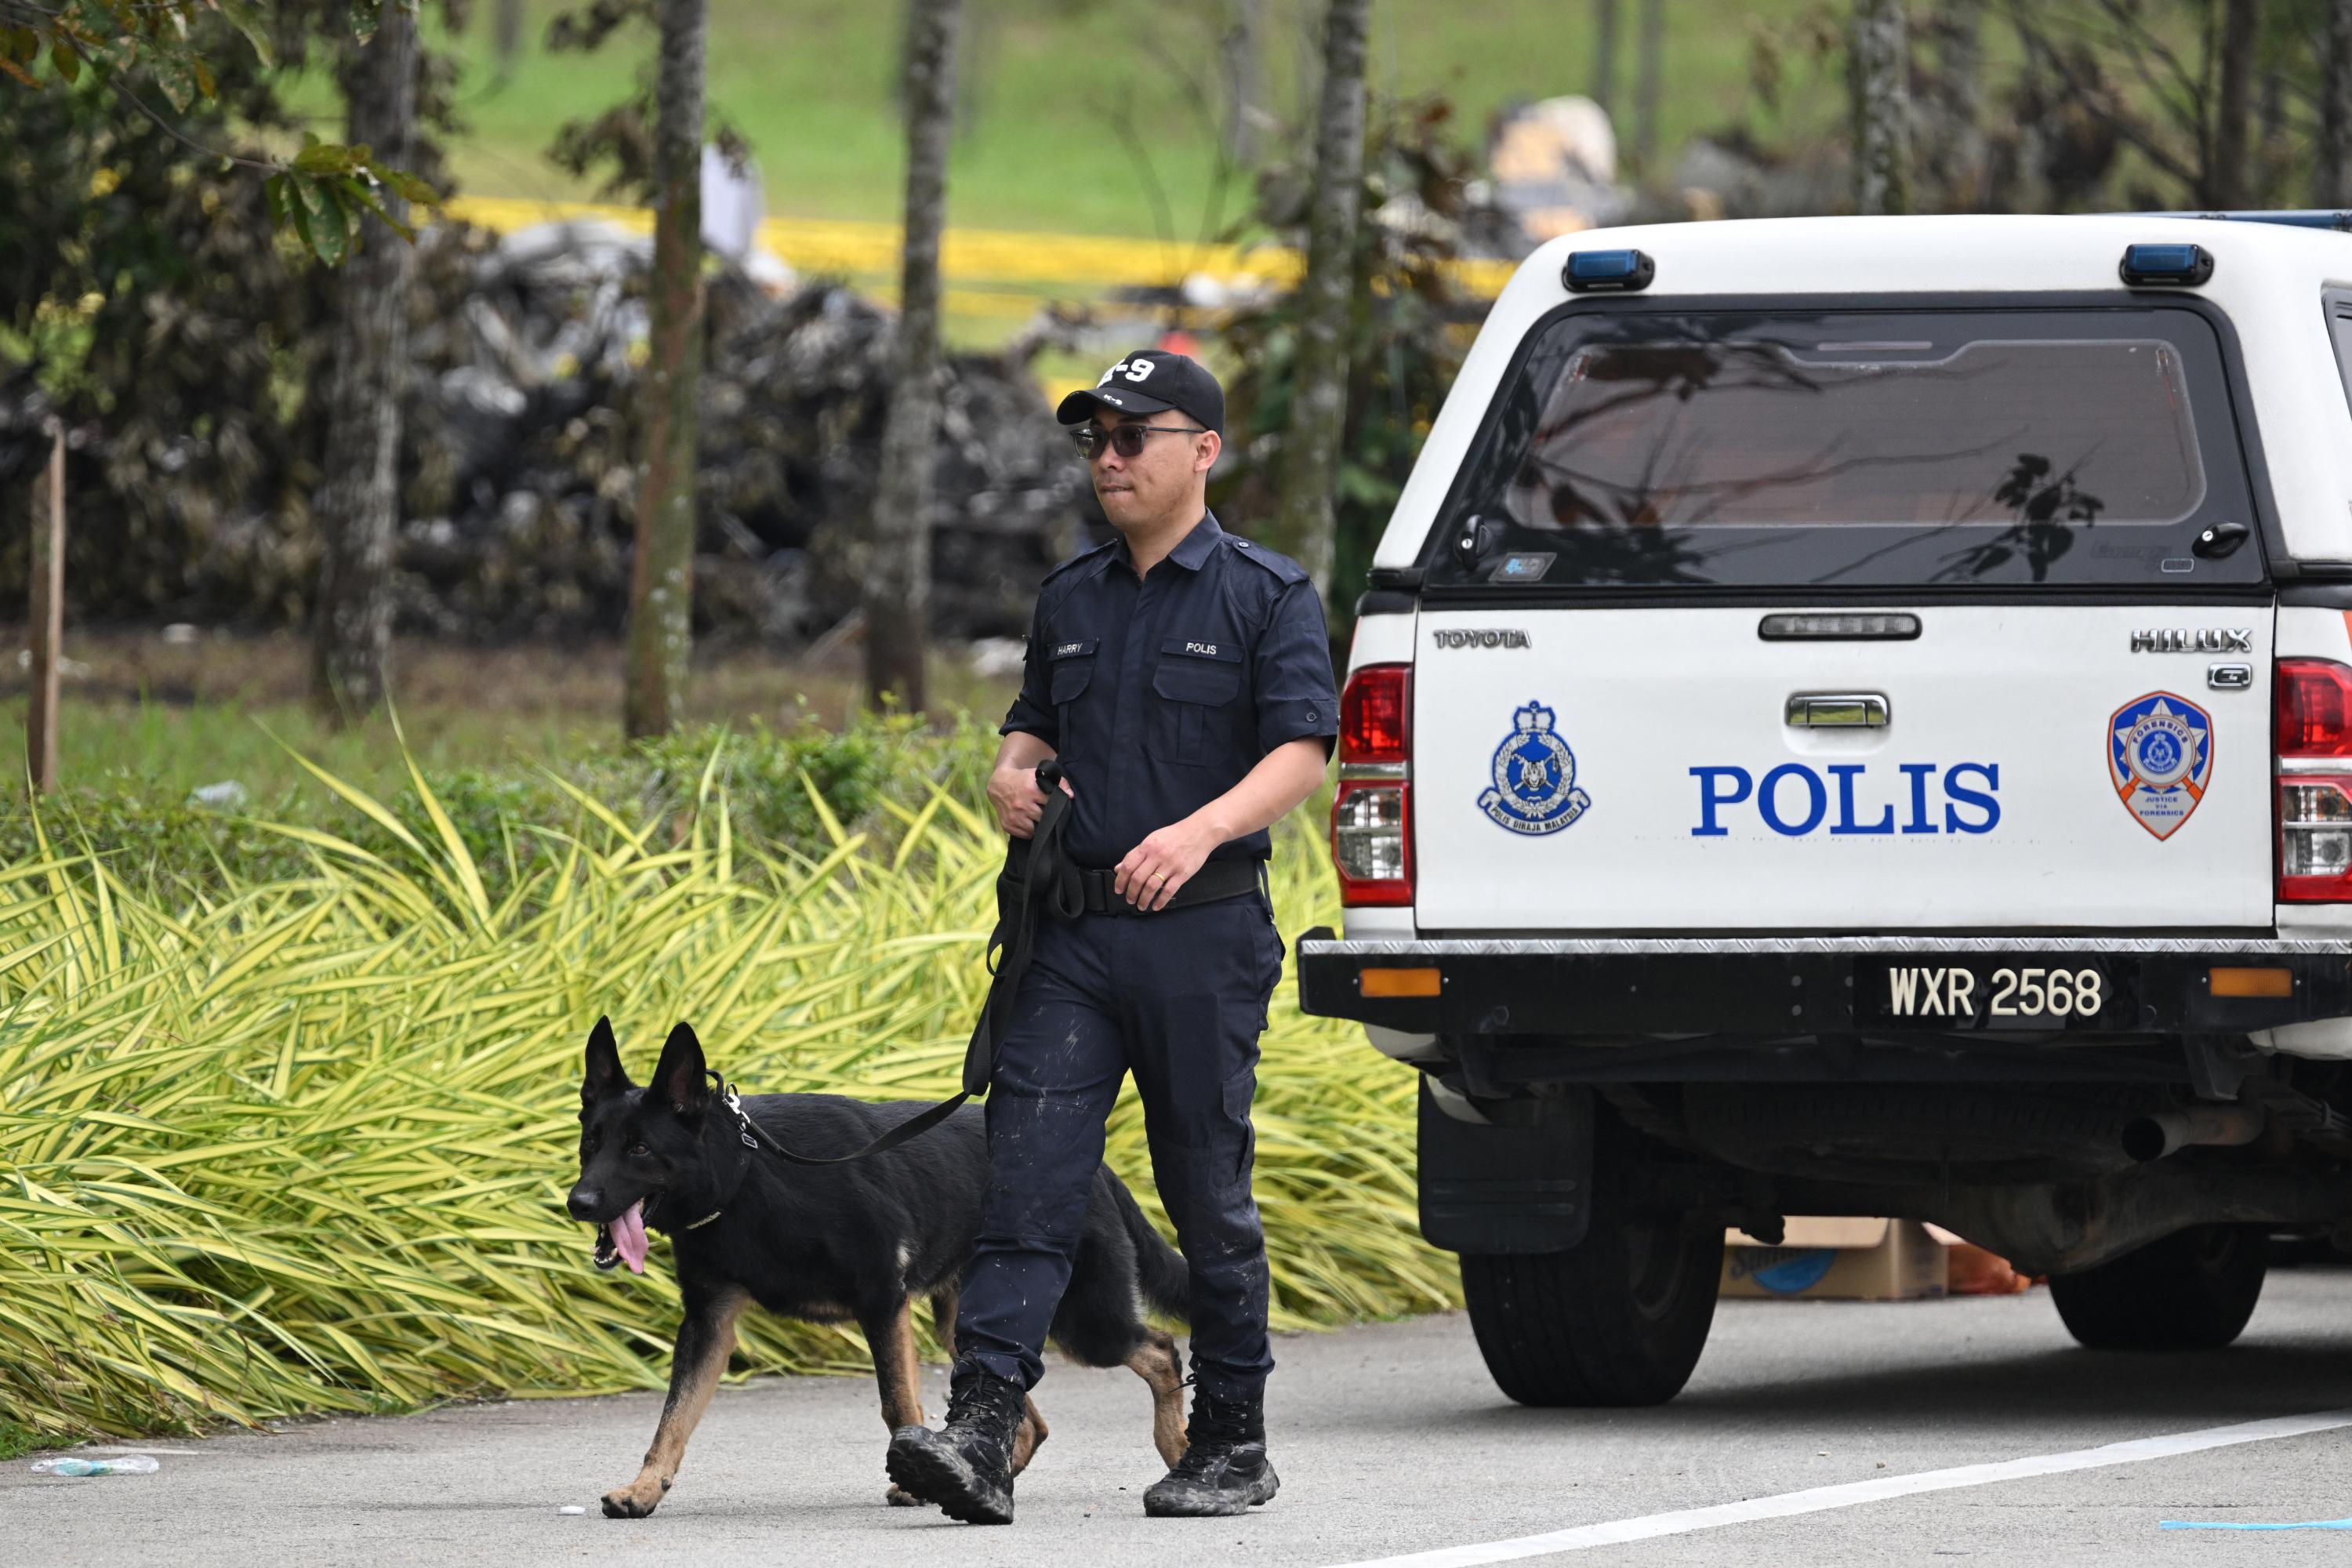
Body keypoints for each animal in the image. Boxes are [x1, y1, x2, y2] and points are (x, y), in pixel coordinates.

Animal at [567, 1020, 1195, 1523]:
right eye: (590, 1144)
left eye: (640, 1149)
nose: (577, 1203)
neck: (745, 1173)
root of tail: (1101, 1169)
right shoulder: (708, 1327)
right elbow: (672, 1420)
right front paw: (644, 1489)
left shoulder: (881, 1303)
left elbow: (898, 1403)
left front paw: (916, 1479)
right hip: (972, 1324)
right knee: (1028, 1415)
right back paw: (983, 1478)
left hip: (1084, 1323)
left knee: (1160, 1349)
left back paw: (1175, 1448)